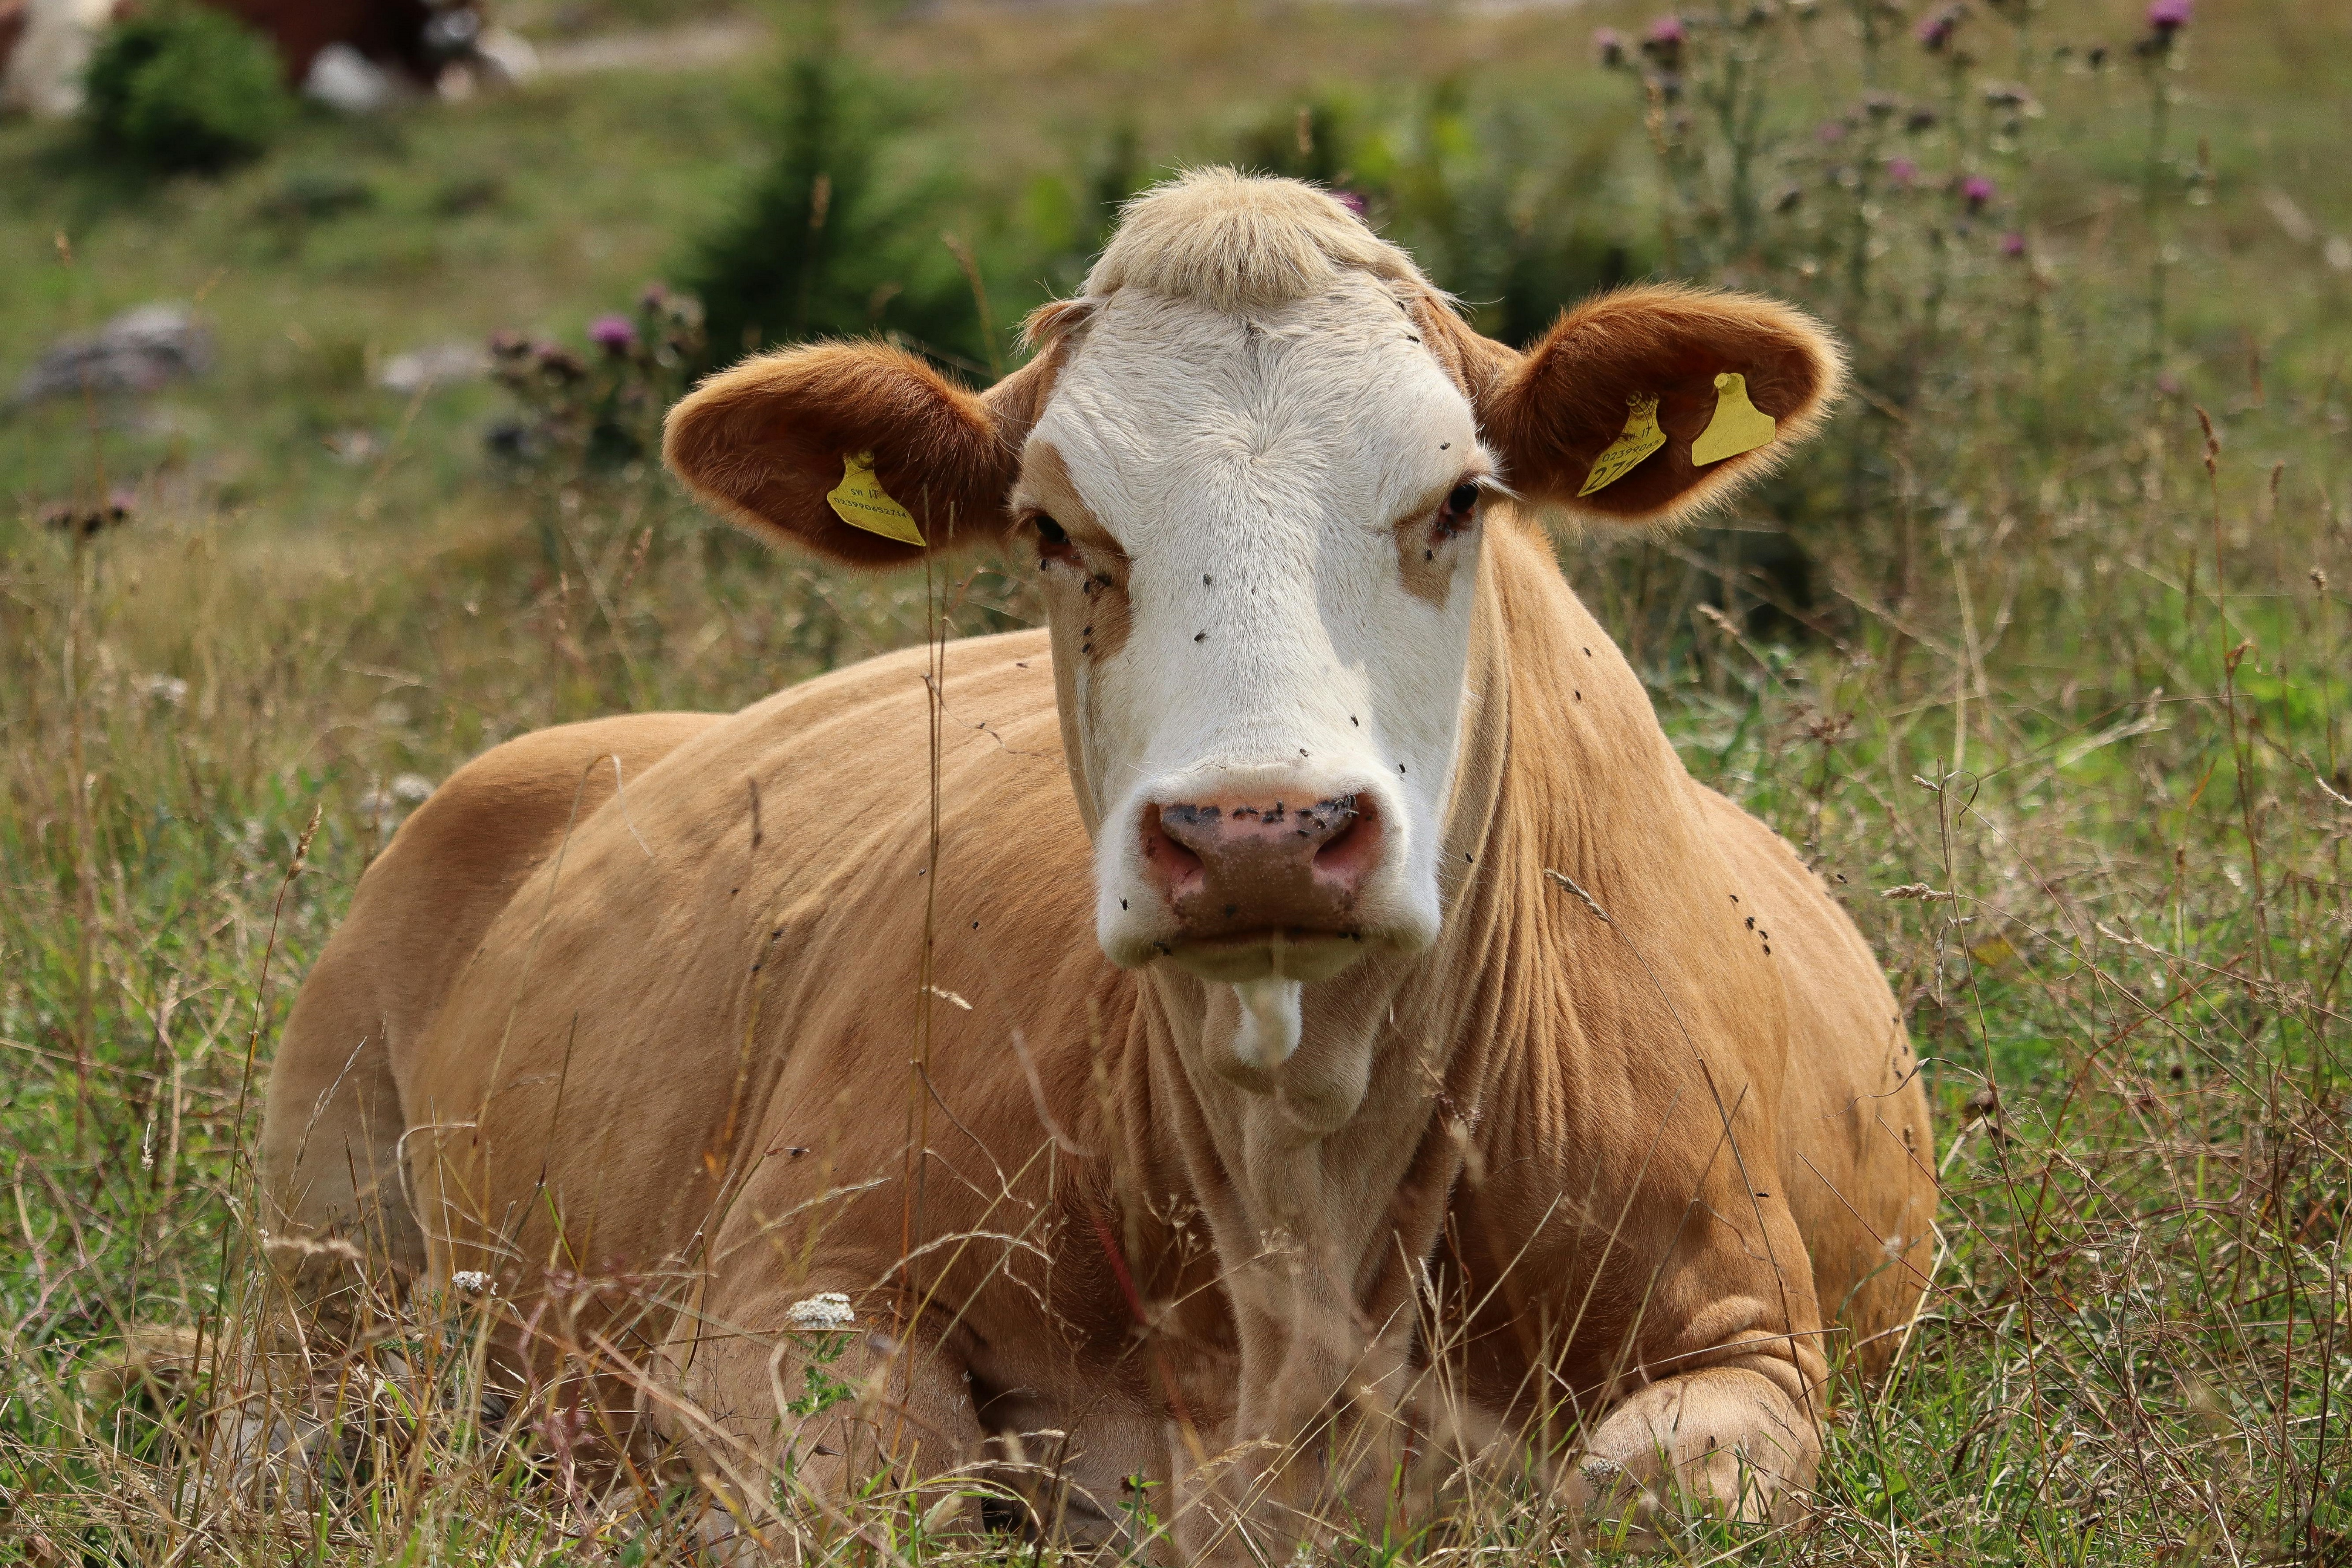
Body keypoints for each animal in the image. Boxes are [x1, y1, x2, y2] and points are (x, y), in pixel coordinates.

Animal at [259, 170, 1935, 1560]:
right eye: (1055, 529)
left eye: (1461, 500)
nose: (1261, 830)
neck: (1301, 1227)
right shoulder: (774, 1299)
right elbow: (887, 1497)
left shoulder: (1747, 1342)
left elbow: (1644, 1497)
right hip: (318, 1260)